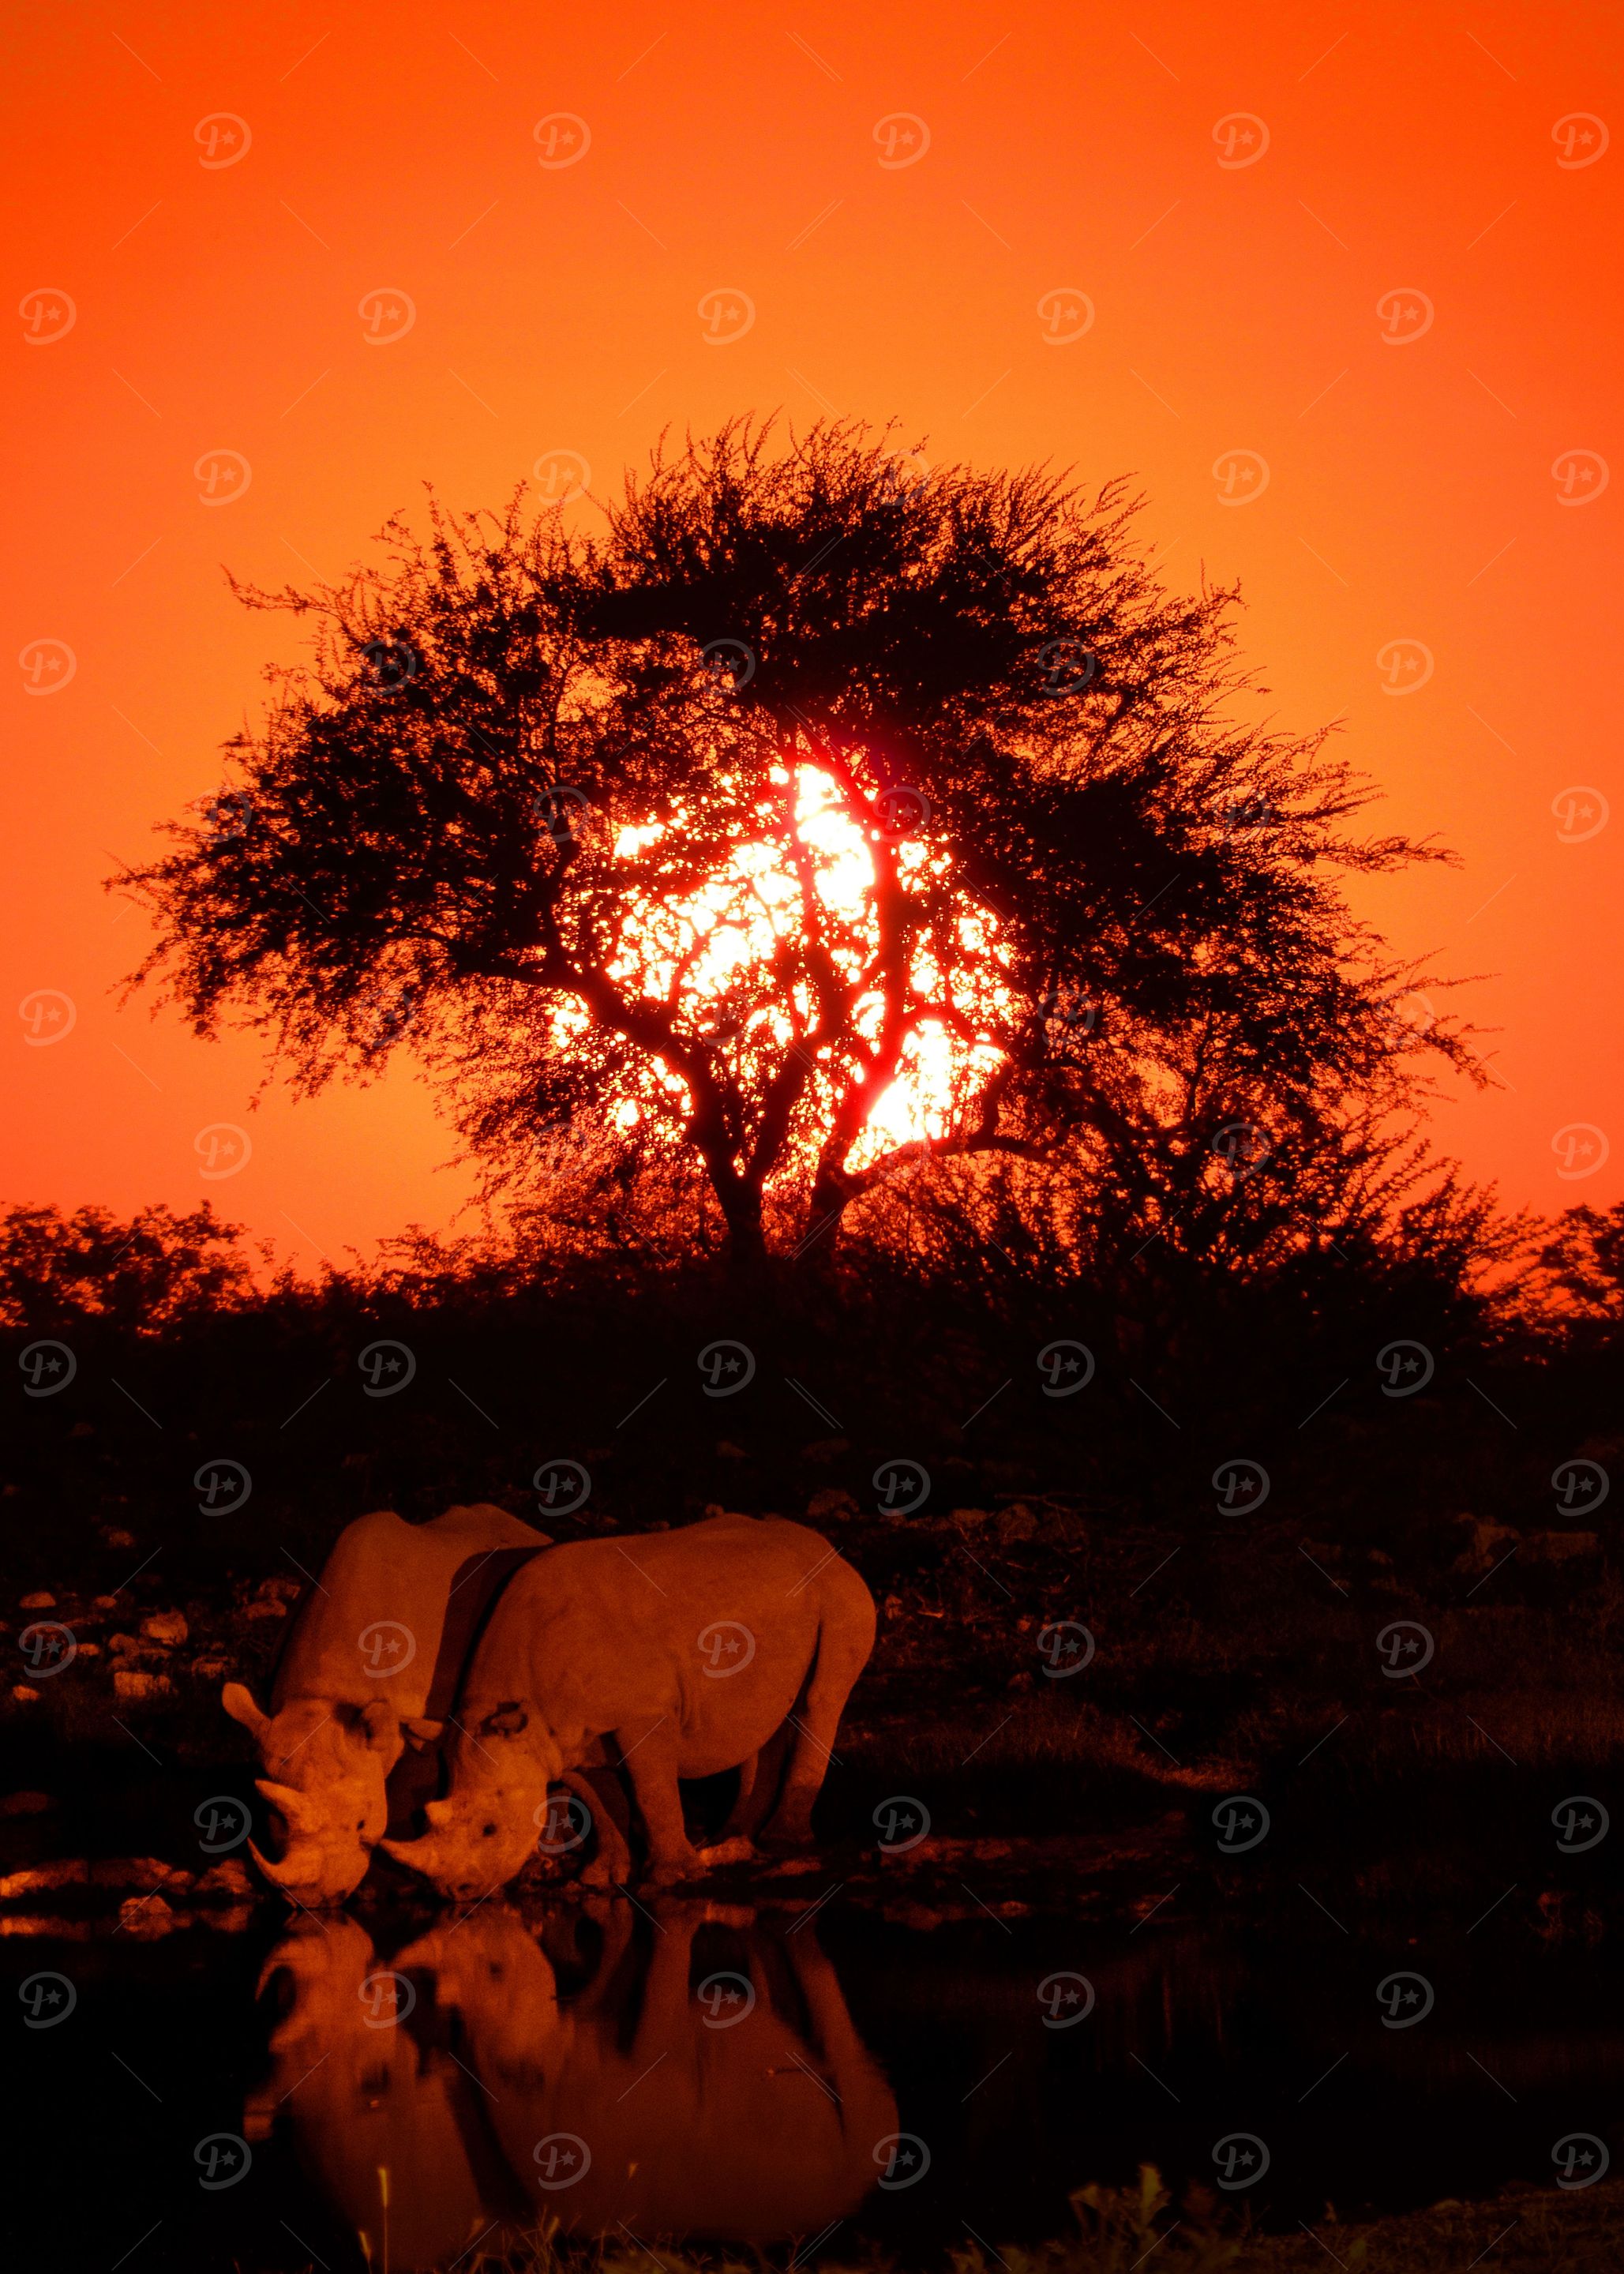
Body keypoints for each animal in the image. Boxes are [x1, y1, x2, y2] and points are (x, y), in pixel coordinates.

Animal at [381, 1513, 875, 1898]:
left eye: (489, 1830)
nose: (455, 1893)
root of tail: (825, 1545)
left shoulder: (644, 1714)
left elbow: (651, 1790)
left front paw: (673, 1878)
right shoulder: (561, 1737)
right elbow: (599, 1799)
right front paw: (601, 1879)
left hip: (840, 1594)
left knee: (820, 1701)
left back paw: (782, 1844)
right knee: (764, 1720)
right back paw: (729, 1844)